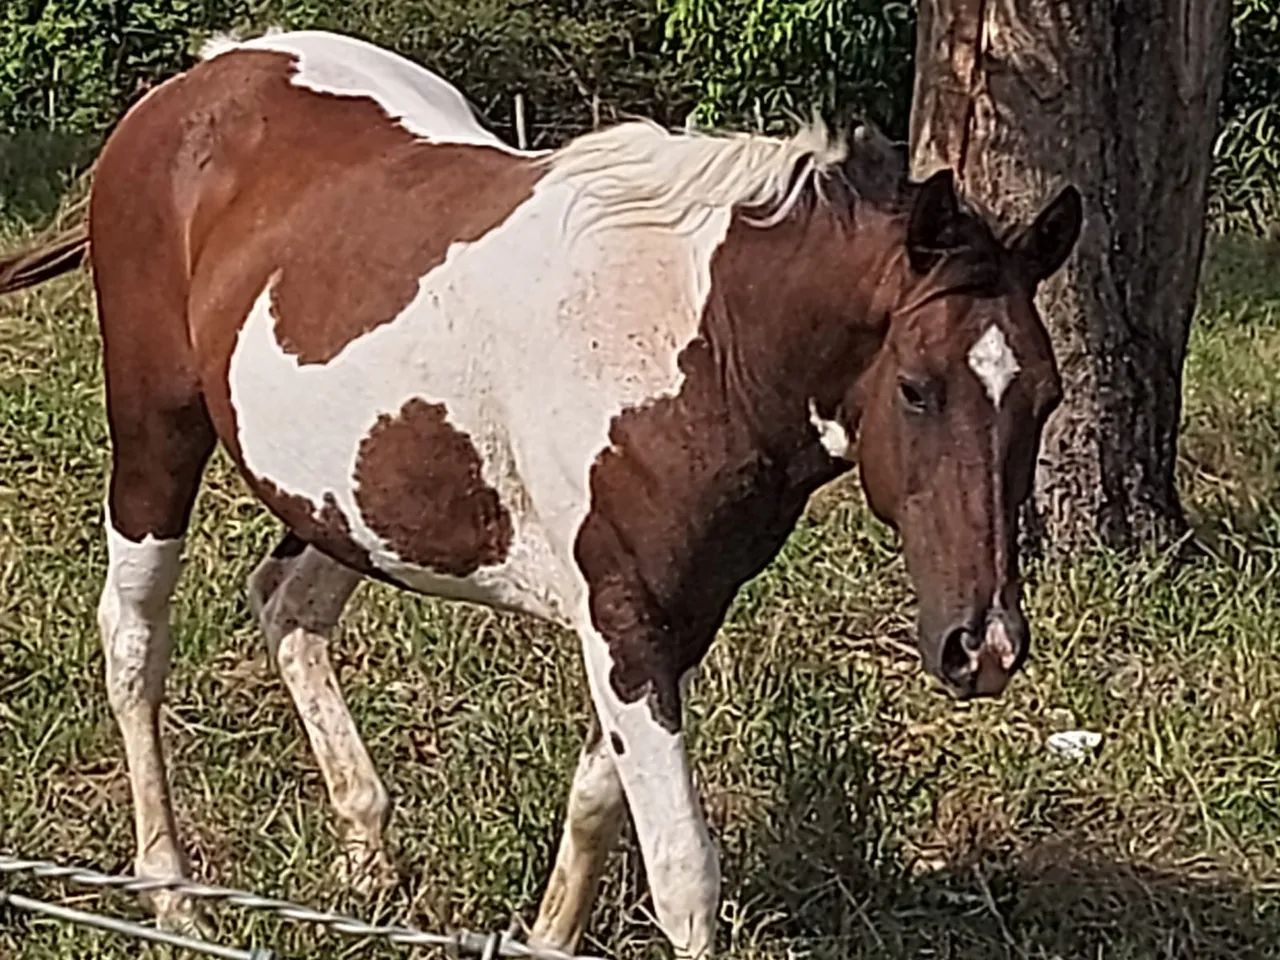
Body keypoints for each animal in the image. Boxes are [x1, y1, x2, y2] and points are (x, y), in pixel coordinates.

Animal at [0, 29, 1081, 958]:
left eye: (1044, 393)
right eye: (917, 387)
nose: (982, 647)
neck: (700, 338)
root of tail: (209, 73)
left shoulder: (668, 622)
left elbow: (598, 798)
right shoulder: (629, 619)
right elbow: (684, 874)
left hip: (346, 500)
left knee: (286, 608)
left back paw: (369, 861)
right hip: (156, 436)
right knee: (134, 641)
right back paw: (172, 896)